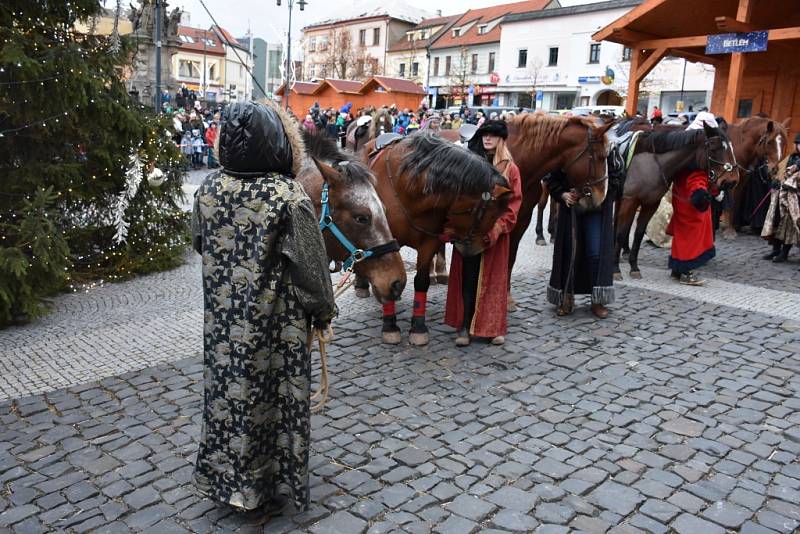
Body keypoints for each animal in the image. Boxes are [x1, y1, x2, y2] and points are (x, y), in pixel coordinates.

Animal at [362, 134, 512, 348]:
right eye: (489, 214)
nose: (475, 250)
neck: (406, 188)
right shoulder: (383, 240)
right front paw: (390, 327)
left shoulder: (429, 242)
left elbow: (421, 281)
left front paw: (418, 327)